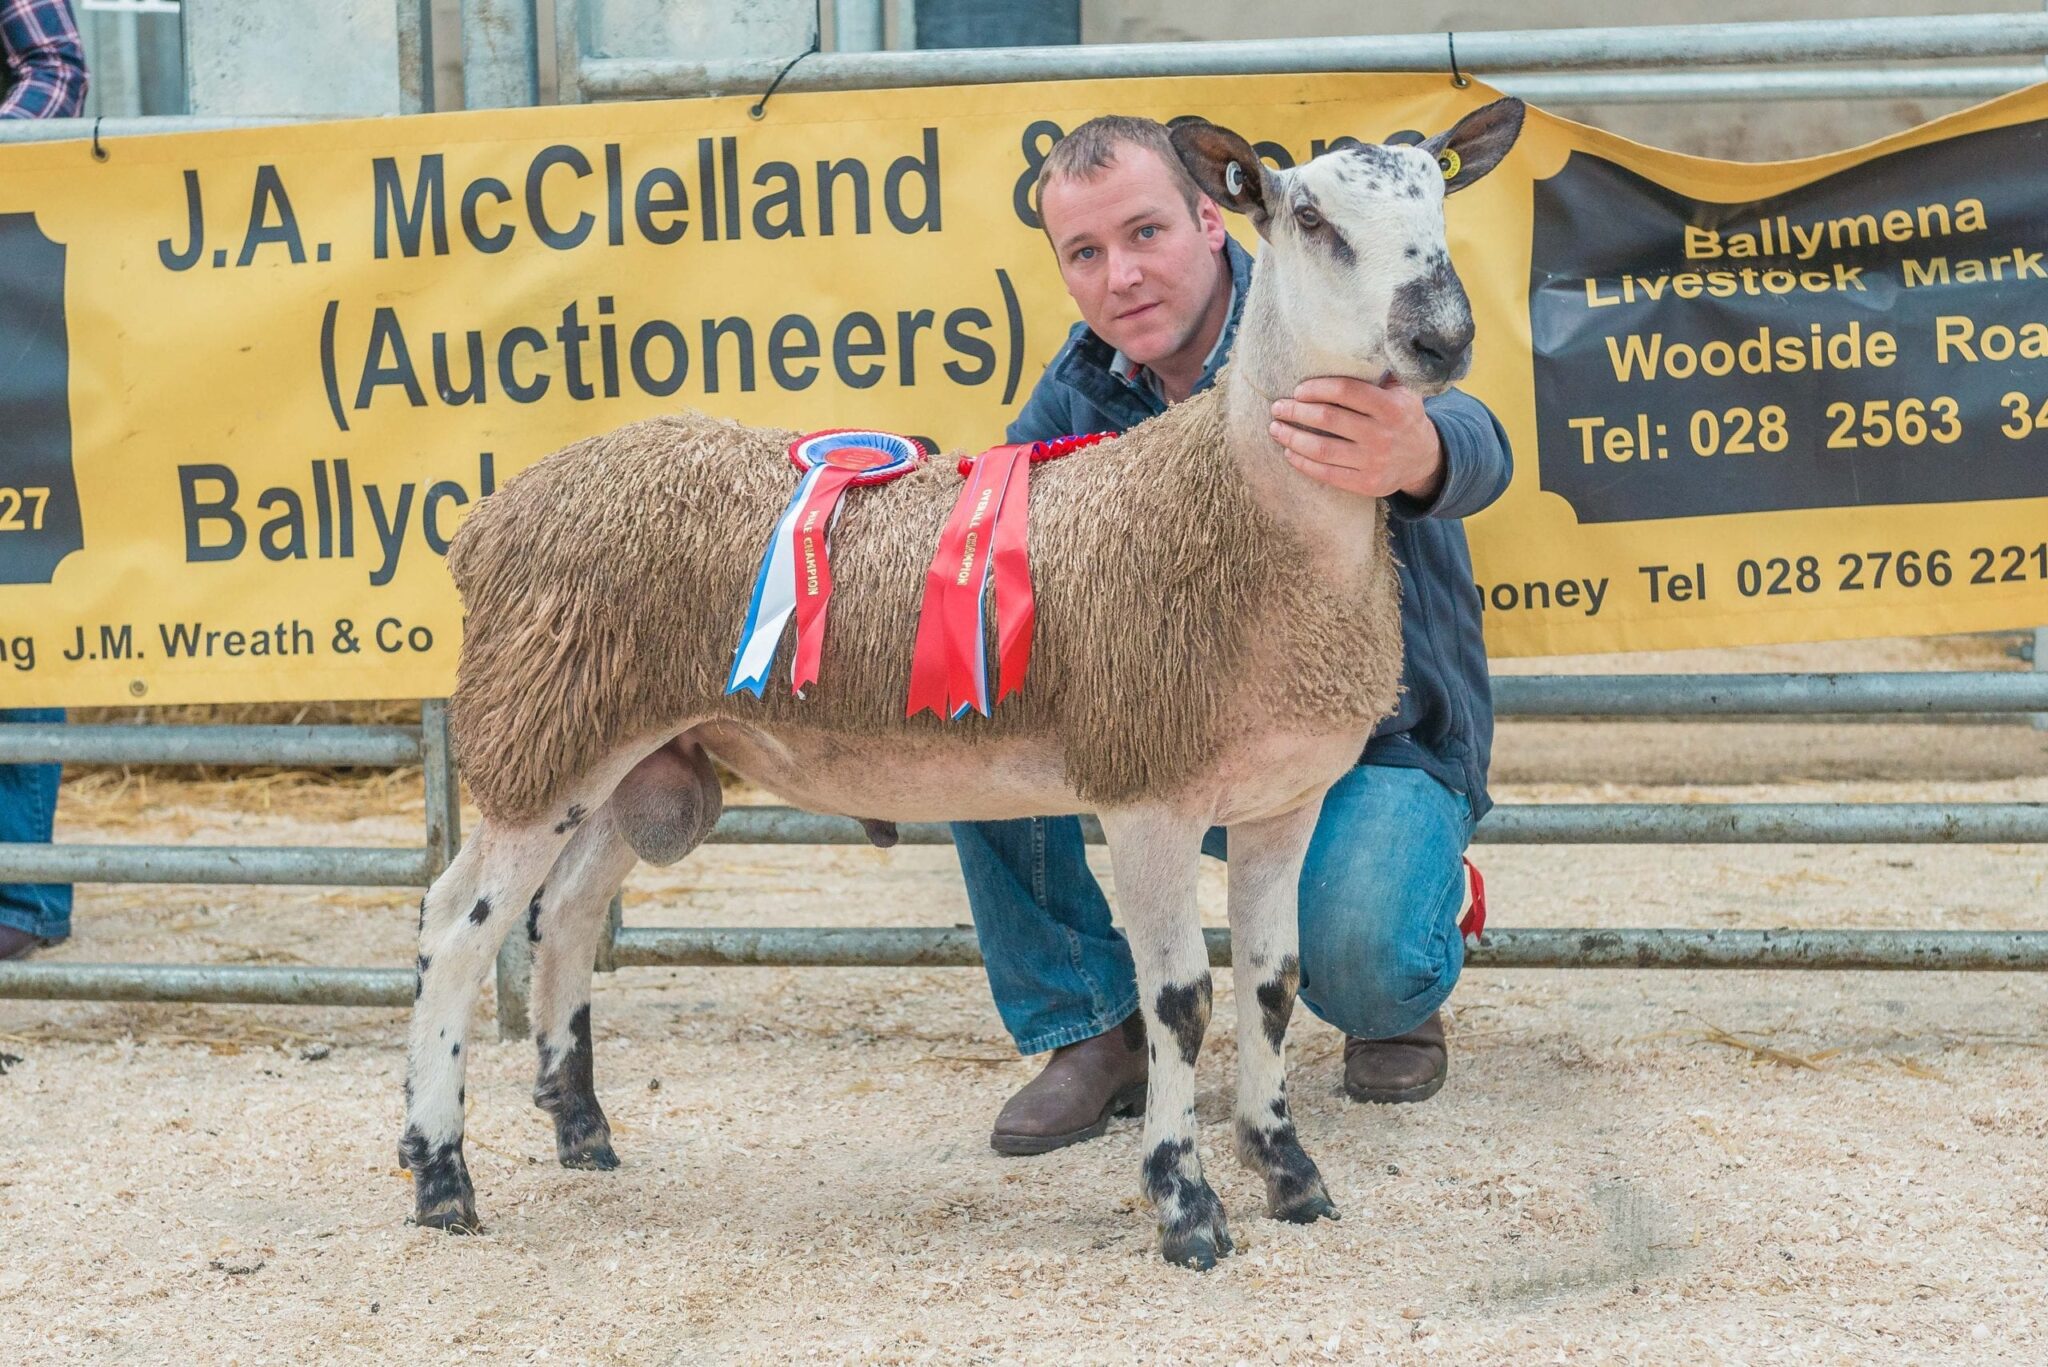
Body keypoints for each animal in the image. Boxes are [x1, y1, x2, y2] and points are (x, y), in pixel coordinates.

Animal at [403, 98, 1523, 1270]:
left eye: (1441, 199)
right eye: (1308, 217)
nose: (1443, 338)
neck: (1236, 507)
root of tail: (491, 518)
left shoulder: (1285, 797)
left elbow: (1272, 985)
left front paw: (1290, 1172)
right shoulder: (1149, 793)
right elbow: (1179, 1001)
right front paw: (1187, 1208)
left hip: (639, 752)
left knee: (565, 914)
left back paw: (579, 1126)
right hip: (542, 728)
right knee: (454, 925)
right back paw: (440, 1175)